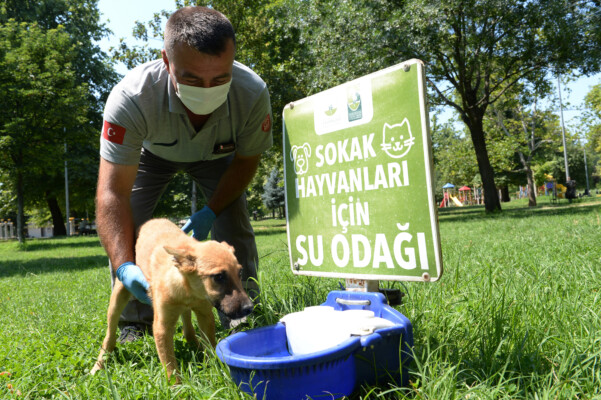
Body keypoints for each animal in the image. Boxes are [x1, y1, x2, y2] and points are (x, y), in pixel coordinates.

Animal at [91, 219, 253, 382]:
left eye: (240, 272)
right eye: (219, 277)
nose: (249, 308)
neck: (187, 288)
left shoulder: (205, 315)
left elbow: (209, 344)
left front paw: (213, 369)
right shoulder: (162, 327)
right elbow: (169, 363)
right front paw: (177, 385)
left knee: (188, 328)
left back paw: (195, 345)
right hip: (118, 296)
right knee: (109, 336)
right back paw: (98, 366)